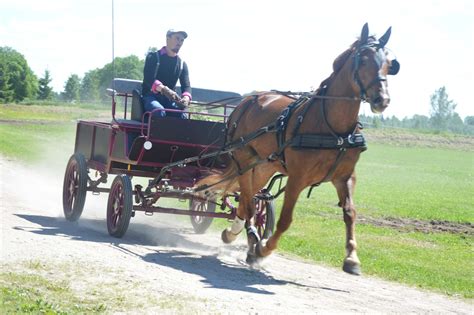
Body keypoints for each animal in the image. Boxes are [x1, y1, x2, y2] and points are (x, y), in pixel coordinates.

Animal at [196, 23, 400, 276]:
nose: (382, 100)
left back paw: (238, 235)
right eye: (363, 60)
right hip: (244, 161)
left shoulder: (345, 177)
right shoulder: (297, 178)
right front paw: (264, 249)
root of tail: (245, 102)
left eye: (389, 64)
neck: (333, 129)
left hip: (263, 166)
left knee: (246, 200)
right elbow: (285, 220)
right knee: (248, 202)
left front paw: (352, 258)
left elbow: (351, 213)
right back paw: (251, 242)